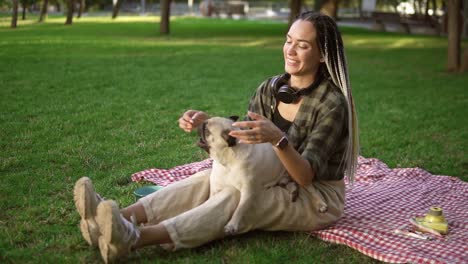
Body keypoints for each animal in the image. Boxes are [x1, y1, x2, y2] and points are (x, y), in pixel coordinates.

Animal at [197, 116, 326, 234]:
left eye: (207, 131)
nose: (201, 124)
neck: (227, 161)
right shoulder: (215, 188)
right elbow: (211, 200)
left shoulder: (248, 191)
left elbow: (240, 208)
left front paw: (232, 225)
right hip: (283, 180)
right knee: (290, 184)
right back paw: (293, 193)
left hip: (297, 175)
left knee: (312, 189)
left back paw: (321, 204)